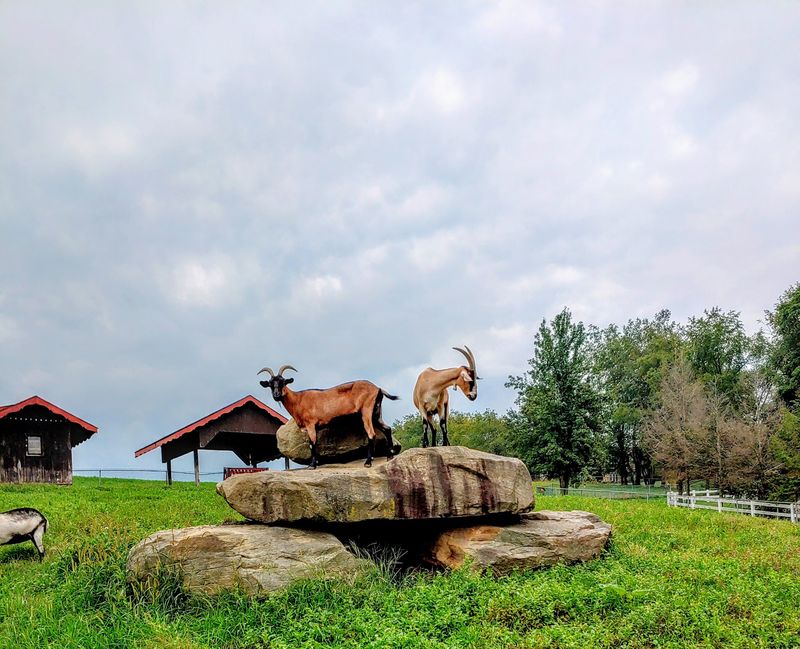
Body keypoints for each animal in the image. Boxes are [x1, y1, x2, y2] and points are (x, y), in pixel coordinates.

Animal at [258, 364, 400, 468]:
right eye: (270, 384)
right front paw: (315, 463)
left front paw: (312, 465)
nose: (276, 395)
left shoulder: (310, 424)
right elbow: (314, 444)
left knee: (371, 434)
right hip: (376, 413)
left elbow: (312, 443)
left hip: (366, 411)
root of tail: (378, 388)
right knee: (387, 429)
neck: (298, 399)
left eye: (283, 382)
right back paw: (390, 456)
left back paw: (368, 462)